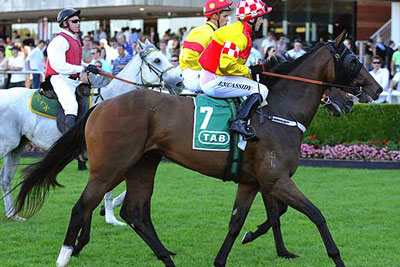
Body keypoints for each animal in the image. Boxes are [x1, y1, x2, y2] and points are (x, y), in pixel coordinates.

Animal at [0, 40, 184, 226]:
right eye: (157, 60)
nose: (179, 82)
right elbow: (111, 188)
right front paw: (110, 216)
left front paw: (107, 211)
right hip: (6, 145)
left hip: (17, 147)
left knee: (6, 178)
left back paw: (13, 215)